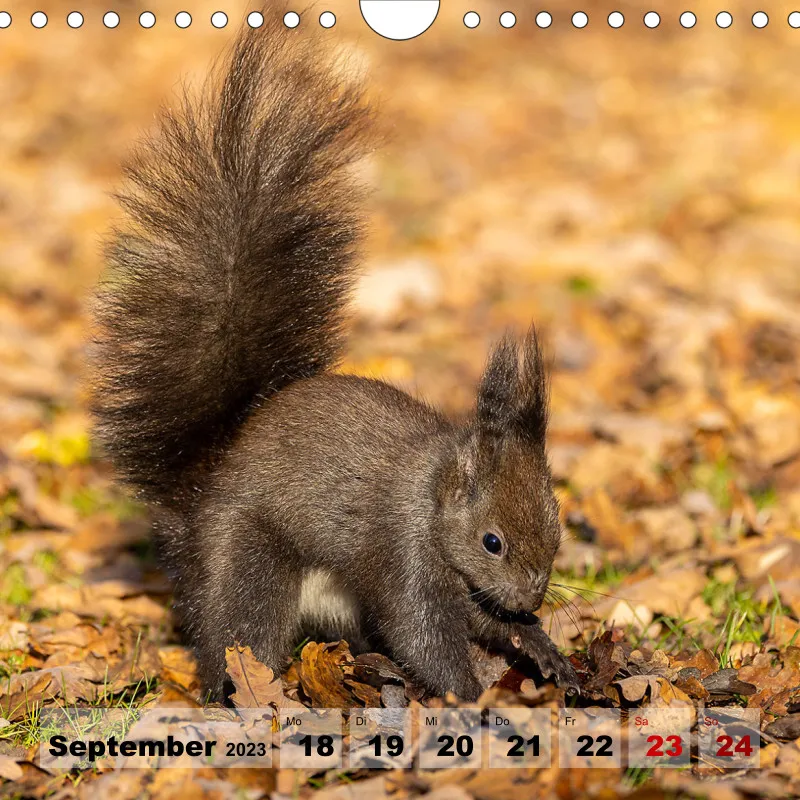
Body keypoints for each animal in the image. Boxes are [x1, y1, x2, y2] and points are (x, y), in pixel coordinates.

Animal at [90, 14, 579, 702]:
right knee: (238, 633)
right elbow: (419, 632)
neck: (435, 492)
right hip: (245, 562)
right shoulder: (402, 548)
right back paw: (241, 695)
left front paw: (541, 648)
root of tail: (196, 498)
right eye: (492, 541)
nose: (532, 598)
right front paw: (472, 696)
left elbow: (482, 619)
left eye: (559, 525)